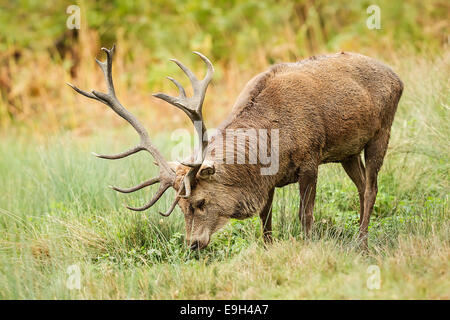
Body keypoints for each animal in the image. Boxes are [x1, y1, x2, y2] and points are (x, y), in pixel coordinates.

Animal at [69, 45, 404, 250]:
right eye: (180, 207)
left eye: (200, 202)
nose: (192, 244)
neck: (272, 143)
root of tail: (396, 76)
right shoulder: (268, 181)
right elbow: (265, 220)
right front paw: (268, 249)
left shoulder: (310, 158)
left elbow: (304, 216)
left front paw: (308, 246)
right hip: (348, 151)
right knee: (362, 186)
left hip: (382, 130)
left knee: (372, 187)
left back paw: (362, 241)